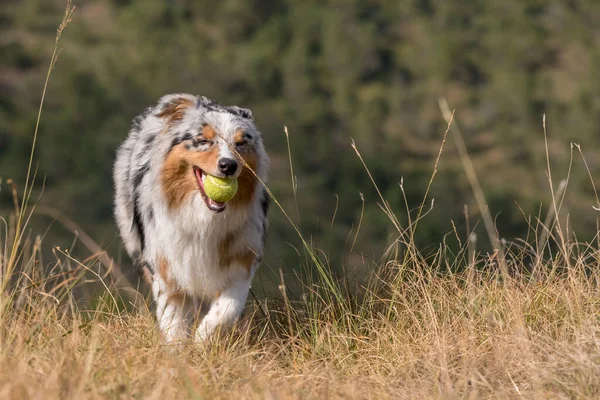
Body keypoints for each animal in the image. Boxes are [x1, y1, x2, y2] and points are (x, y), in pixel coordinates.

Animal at [112, 92, 270, 342]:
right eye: (203, 140)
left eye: (240, 143)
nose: (228, 165)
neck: (203, 219)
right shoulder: (168, 268)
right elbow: (174, 323)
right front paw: (180, 350)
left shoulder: (242, 260)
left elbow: (226, 310)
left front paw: (203, 339)